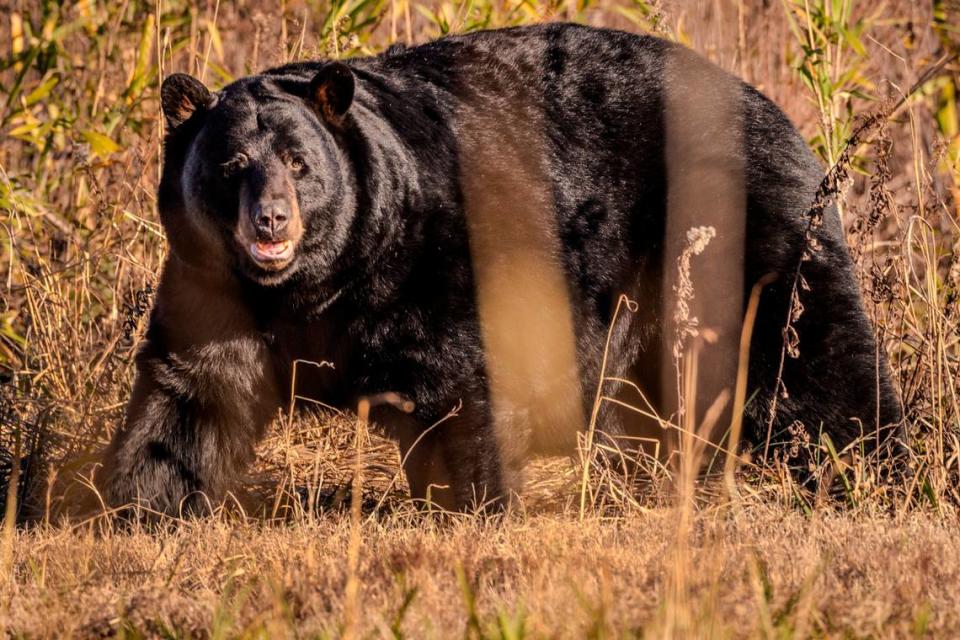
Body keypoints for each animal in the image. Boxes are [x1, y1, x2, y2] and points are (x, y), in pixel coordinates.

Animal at [101, 23, 904, 516]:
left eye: (300, 164)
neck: (317, 287)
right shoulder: (214, 285)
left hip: (732, 233)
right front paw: (136, 502)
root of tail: (773, 108)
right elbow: (193, 394)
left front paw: (477, 501)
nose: (270, 220)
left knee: (806, 353)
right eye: (232, 164)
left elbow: (469, 382)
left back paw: (868, 464)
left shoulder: (439, 262)